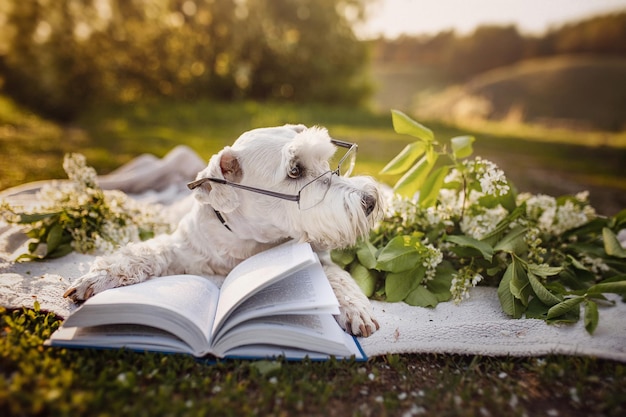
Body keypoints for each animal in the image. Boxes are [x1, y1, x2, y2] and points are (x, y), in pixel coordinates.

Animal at [66, 123, 382, 334]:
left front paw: (355, 308)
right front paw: (99, 277)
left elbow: (337, 277)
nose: (370, 201)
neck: (247, 239)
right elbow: (146, 252)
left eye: (326, 160)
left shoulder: (315, 255)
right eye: (295, 170)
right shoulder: (181, 248)